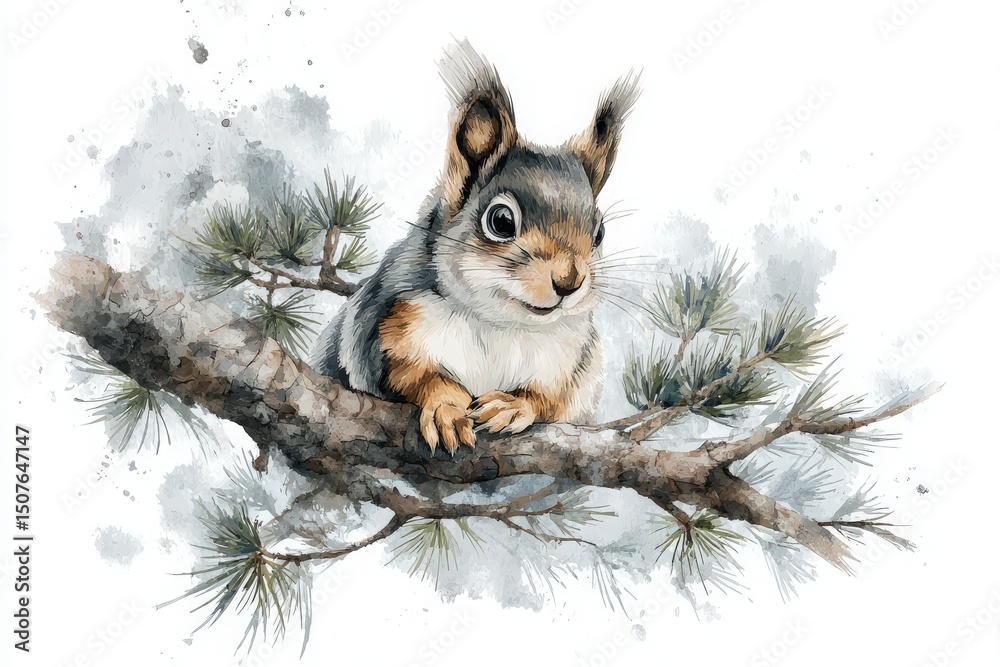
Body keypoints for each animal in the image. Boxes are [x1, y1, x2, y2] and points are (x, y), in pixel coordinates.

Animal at [312, 41, 640, 455]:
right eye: (500, 221)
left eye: (600, 233)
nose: (569, 282)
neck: (500, 323)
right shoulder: (384, 329)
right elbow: (418, 376)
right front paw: (445, 408)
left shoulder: (570, 363)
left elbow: (548, 399)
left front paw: (513, 405)